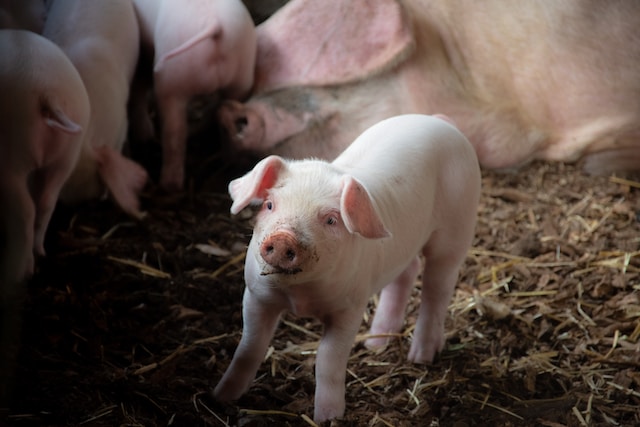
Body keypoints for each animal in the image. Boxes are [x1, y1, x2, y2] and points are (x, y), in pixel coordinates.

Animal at [214, 114, 480, 424]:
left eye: (331, 220)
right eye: (269, 204)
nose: (282, 238)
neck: (300, 296)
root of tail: (439, 120)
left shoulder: (350, 308)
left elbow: (328, 359)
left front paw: (327, 418)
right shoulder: (256, 295)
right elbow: (249, 347)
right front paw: (221, 397)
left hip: (456, 227)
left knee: (437, 289)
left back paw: (421, 357)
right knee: (407, 271)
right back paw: (374, 344)